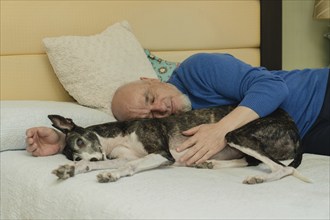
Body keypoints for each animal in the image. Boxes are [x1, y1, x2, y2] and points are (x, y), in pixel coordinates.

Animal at [49, 105, 310, 185]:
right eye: (74, 156)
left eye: (80, 140)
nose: (86, 159)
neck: (119, 135)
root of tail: (292, 123)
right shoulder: (122, 156)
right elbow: (98, 165)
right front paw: (70, 170)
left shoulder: (163, 154)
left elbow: (128, 167)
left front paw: (111, 174)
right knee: (251, 161)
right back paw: (209, 163)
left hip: (235, 134)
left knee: (284, 168)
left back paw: (259, 178)